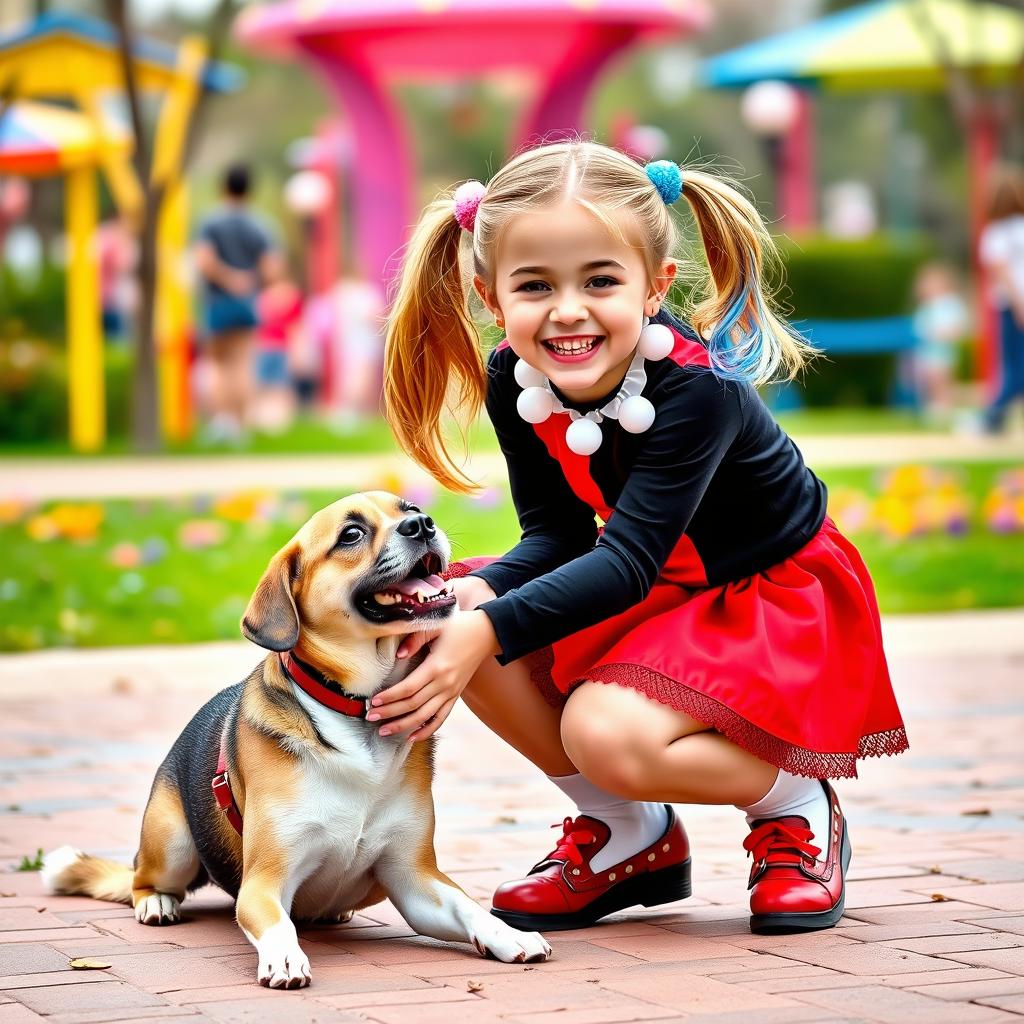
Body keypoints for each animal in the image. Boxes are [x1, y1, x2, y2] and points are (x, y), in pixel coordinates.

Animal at [41, 491, 552, 987]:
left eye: (410, 509)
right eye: (351, 534)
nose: (423, 524)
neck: (357, 712)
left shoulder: (415, 877)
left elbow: (469, 907)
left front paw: (508, 933)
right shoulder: (263, 883)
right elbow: (277, 923)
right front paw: (285, 957)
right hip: (171, 842)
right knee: (141, 881)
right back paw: (156, 902)